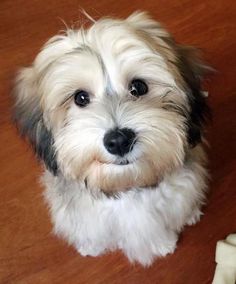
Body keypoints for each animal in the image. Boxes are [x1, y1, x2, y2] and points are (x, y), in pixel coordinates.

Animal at [13, 11, 208, 266]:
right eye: (81, 98)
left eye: (138, 87)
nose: (119, 141)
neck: (124, 184)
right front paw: (90, 246)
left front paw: (163, 244)